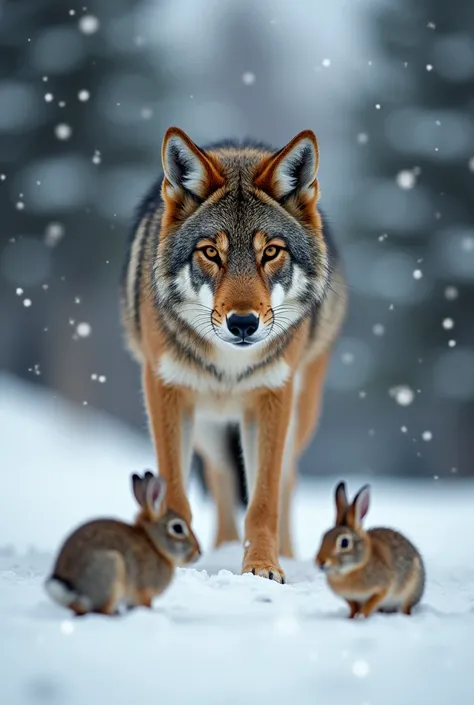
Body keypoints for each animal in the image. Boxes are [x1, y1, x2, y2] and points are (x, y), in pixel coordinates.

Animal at [44, 470, 200, 612]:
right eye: (178, 528)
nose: (198, 552)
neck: (154, 544)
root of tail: (69, 588)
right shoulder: (144, 592)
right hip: (111, 569)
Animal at [121, 128, 344, 584]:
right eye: (211, 252)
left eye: (271, 252)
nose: (243, 324)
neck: (230, 365)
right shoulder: (166, 390)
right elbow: (175, 490)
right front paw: (173, 561)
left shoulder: (272, 396)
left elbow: (264, 500)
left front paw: (264, 567)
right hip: (207, 425)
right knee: (222, 476)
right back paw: (221, 548)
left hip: (300, 410)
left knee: (288, 479)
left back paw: (286, 555)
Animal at [314, 482, 426, 620]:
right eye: (323, 537)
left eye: (344, 542)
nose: (320, 561)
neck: (353, 569)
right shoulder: (350, 598)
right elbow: (353, 607)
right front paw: (350, 618)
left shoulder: (383, 588)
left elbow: (372, 602)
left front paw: (361, 616)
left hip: (410, 591)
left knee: (406, 607)